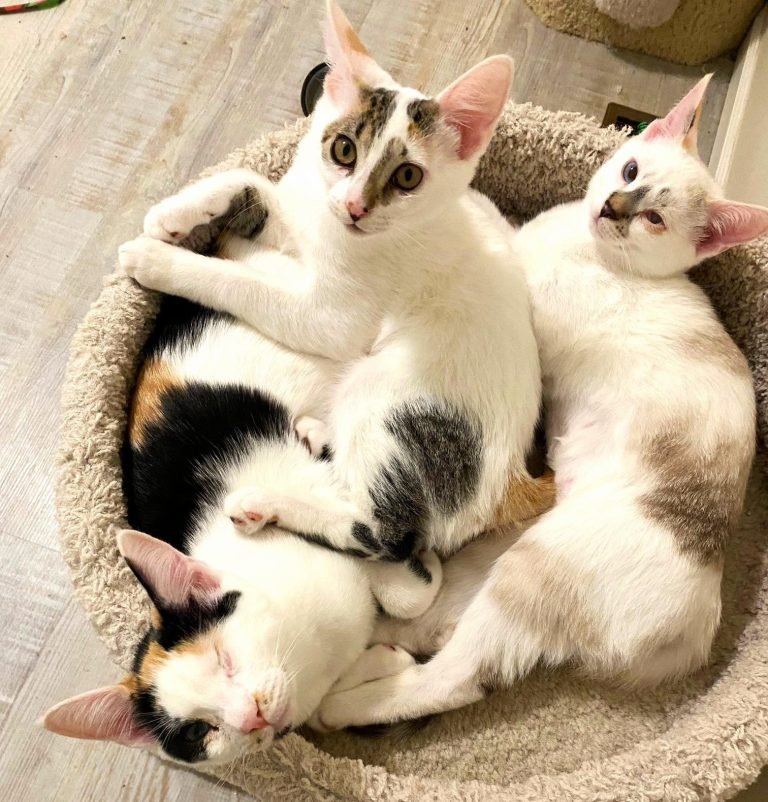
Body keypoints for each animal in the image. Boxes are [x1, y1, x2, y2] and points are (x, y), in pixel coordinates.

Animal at [42, 298, 444, 763]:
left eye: (224, 658)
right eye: (198, 731)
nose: (251, 717)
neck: (308, 653)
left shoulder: (317, 488)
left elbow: (400, 587)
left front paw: (422, 564)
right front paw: (384, 660)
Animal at [117, 0, 554, 567]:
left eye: (408, 177)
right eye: (343, 149)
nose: (354, 207)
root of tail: (513, 482)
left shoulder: (333, 320)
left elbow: (248, 284)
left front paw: (159, 259)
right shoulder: (310, 214)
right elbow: (252, 185)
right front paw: (173, 216)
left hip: (392, 399)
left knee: (388, 535)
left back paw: (268, 504)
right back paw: (316, 433)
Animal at [306, 75, 768, 731]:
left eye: (654, 218)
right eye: (630, 170)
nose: (613, 208)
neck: (592, 248)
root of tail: (698, 621)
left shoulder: (515, 268)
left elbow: (485, 224)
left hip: (532, 573)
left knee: (458, 675)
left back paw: (345, 703)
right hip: (491, 556)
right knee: (426, 618)